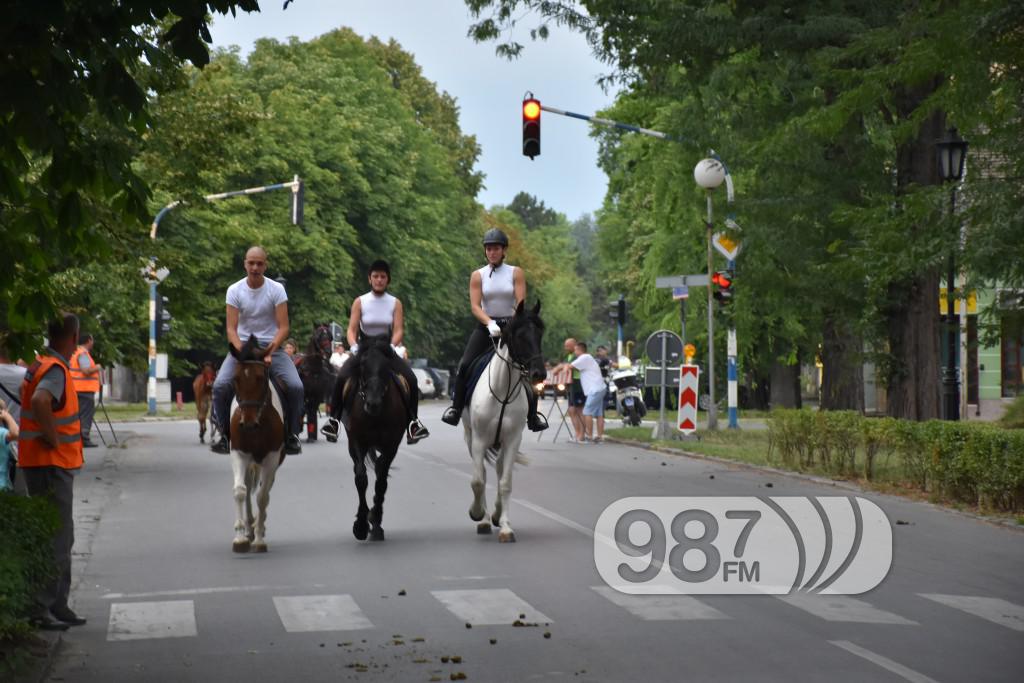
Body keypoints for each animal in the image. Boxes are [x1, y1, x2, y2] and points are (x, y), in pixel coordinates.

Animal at [228, 335, 284, 557]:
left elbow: (262, 497)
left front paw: (259, 539)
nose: (249, 424)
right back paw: (249, 526)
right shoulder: (238, 453)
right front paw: (240, 537)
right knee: (248, 485)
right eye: (235, 379)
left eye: (261, 378)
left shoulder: (272, 458)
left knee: (264, 492)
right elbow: (240, 491)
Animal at [344, 333, 407, 540]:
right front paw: (361, 525)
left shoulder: (392, 445)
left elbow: (381, 481)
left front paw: (375, 521)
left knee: (380, 470)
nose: (372, 403)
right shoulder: (356, 441)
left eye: (387, 365)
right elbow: (361, 477)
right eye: (363, 364)